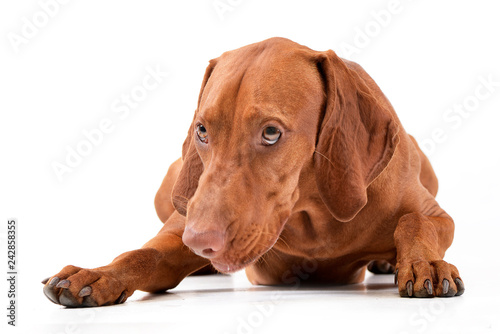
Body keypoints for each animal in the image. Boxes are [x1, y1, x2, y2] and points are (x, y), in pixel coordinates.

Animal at [43, 37, 464, 306]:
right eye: (202, 130)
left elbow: (415, 222)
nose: (200, 241)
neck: (313, 218)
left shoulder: (436, 214)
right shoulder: (180, 226)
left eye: (271, 132)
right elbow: (143, 253)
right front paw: (100, 274)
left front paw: (424, 262)